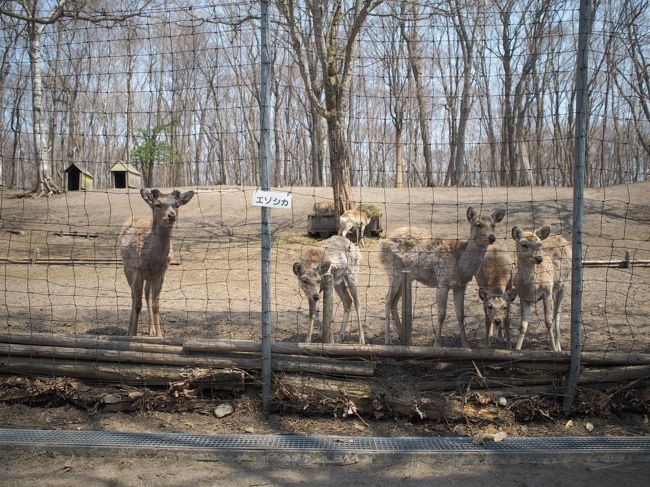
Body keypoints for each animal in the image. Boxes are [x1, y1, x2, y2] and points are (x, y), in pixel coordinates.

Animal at [119, 189, 194, 338]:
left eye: (177, 205)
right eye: (158, 204)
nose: (171, 215)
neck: (153, 260)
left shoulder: (160, 273)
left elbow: (156, 305)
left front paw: (159, 335)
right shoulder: (138, 269)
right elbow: (137, 304)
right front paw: (133, 334)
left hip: (149, 277)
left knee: (146, 294)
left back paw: (151, 330)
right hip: (127, 269)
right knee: (133, 296)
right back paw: (130, 330)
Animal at [380, 208, 506, 348]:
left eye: (493, 225)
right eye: (478, 224)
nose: (492, 237)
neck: (461, 267)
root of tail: (382, 243)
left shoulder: (461, 286)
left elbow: (461, 315)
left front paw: (465, 345)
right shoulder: (442, 282)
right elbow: (441, 314)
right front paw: (437, 344)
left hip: (406, 277)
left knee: (394, 302)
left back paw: (403, 337)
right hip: (393, 272)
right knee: (387, 300)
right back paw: (388, 340)